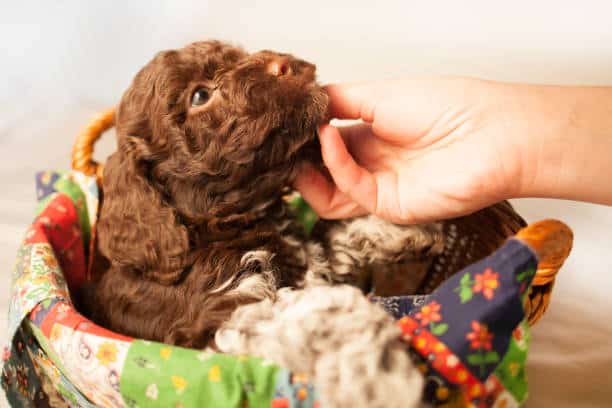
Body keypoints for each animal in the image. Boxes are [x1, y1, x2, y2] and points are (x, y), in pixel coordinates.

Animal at [91, 40, 442, 348]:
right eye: (200, 96)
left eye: (239, 56)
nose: (281, 65)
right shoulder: (223, 316)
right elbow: (298, 321)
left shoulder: (310, 262)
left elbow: (329, 243)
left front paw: (405, 230)